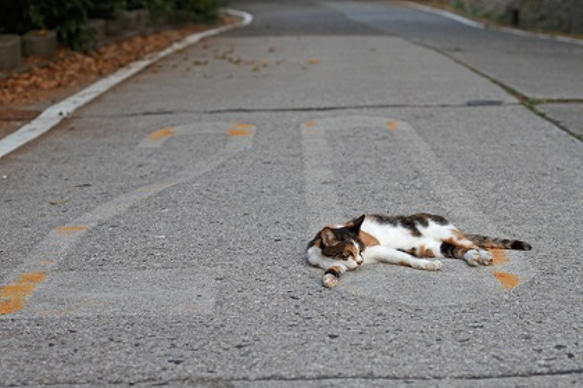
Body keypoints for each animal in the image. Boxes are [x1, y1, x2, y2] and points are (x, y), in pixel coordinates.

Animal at [308, 212, 532, 288]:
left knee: (472, 243)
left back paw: (483, 255)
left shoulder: (380, 248)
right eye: (348, 253)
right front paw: (329, 278)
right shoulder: (337, 264)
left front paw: (428, 266)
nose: (360, 262)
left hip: (447, 233)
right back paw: (472, 258)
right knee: (458, 250)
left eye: (361, 249)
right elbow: (334, 269)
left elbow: (406, 259)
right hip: (434, 247)